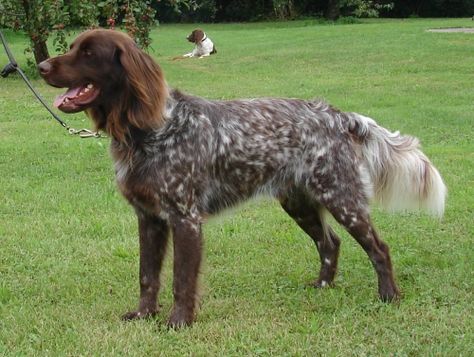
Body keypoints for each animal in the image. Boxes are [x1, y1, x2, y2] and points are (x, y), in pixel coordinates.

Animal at [38, 29, 448, 326]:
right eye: (73, 46)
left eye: (88, 53)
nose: (41, 66)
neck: (149, 129)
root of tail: (338, 115)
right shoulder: (149, 218)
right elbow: (147, 275)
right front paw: (143, 315)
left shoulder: (185, 219)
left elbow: (181, 279)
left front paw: (178, 321)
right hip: (299, 202)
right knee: (329, 242)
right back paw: (322, 284)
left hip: (341, 198)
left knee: (378, 247)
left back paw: (389, 296)